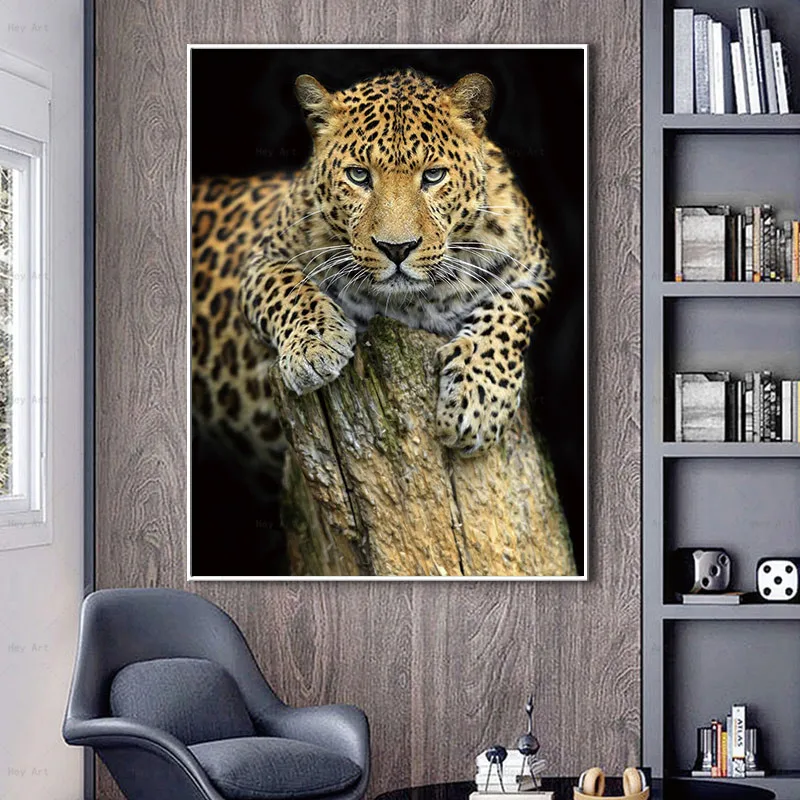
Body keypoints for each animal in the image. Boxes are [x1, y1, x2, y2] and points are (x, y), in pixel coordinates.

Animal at [191, 68, 554, 489]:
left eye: (433, 176)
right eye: (358, 176)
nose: (397, 249)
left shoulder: (534, 271)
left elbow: (508, 315)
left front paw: (476, 403)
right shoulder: (262, 260)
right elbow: (287, 287)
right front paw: (315, 348)